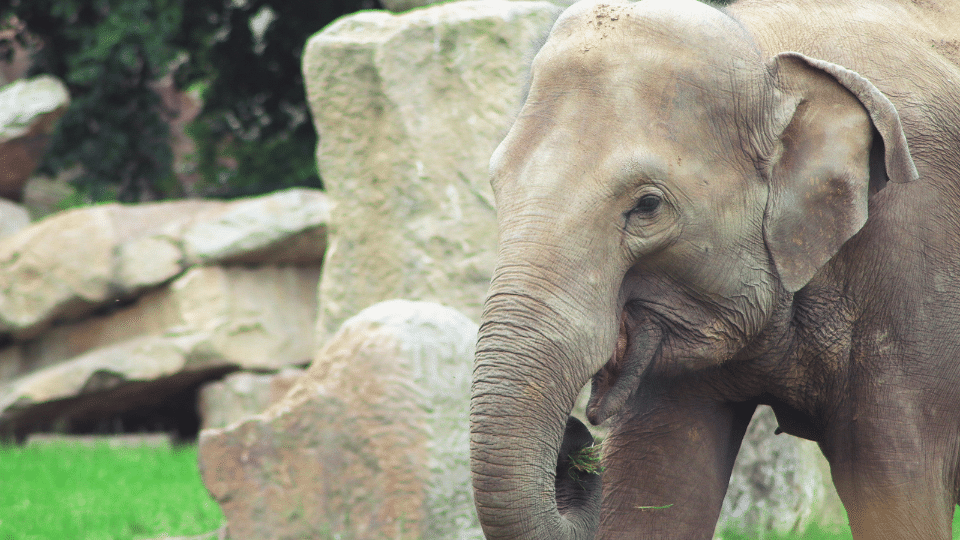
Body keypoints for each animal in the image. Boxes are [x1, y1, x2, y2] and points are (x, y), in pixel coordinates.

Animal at [468, 0, 960, 536]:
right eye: (496, 184)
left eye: (647, 205)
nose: (576, 441)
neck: (767, 51)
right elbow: (655, 487)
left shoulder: (913, 271)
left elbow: (895, 490)